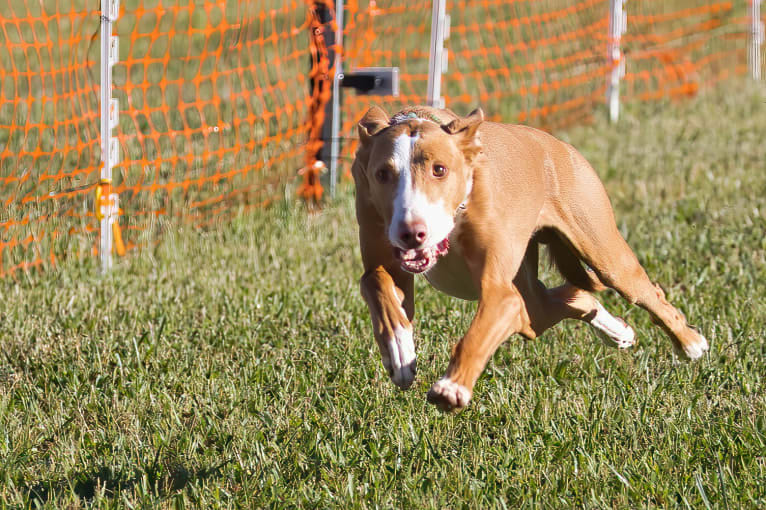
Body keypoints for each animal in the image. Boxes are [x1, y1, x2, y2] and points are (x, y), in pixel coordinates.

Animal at [352, 105, 712, 412]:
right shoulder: (387, 257)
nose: (412, 233)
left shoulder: (500, 293)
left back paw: (690, 343)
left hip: (604, 256)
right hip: (533, 308)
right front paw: (399, 352)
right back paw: (618, 331)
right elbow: (376, 282)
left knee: (647, 294)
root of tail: (558, 145)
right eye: (382, 174)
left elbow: (478, 333)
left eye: (439, 169)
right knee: (573, 297)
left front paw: (452, 387)